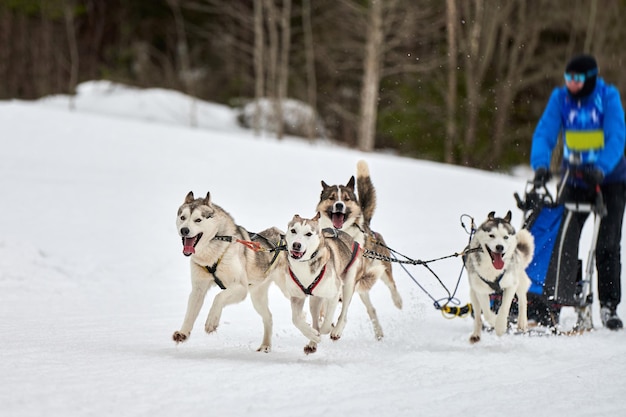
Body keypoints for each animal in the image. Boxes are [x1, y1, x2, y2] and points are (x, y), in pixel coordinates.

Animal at [169, 191, 284, 352]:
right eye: (183, 217)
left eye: (198, 220)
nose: (184, 230)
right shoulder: (198, 289)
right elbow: (190, 313)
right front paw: (183, 333)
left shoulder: (241, 288)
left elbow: (218, 297)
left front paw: (211, 321)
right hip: (257, 297)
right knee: (268, 317)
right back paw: (265, 345)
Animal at [272, 214, 372, 354]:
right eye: (293, 230)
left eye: (308, 233)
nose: (296, 245)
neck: (305, 266)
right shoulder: (297, 297)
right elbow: (296, 320)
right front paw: (312, 334)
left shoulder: (334, 294)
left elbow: (326, 322)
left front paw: (326, 329)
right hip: (315, 300)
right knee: (315, 318)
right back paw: (312, 342)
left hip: (348, 284)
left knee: (344, 312)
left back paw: (336, 330)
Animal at [316, 159, 400, 338]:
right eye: (332, 198)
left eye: (346, 199)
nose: (339, 205)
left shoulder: (350, 279)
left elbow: (342, 310)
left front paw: (336, 327)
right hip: (362, 288)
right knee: (371, 309)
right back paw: (378, 332)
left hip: (380, 269)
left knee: (391, 284)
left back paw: (398, 301)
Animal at [464, 210, 532, 342]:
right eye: (491, 235)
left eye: (505, 237)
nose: (500, 247)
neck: (492, 269)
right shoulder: (480, 290)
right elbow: (486, 313)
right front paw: (495, 321)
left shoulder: (511, 285)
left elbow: (504, 308)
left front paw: (500, 326)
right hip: (473, 293)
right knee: (478, 316)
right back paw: (476, 334)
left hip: (519, 279)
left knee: (523, 299)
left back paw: (522, 322)